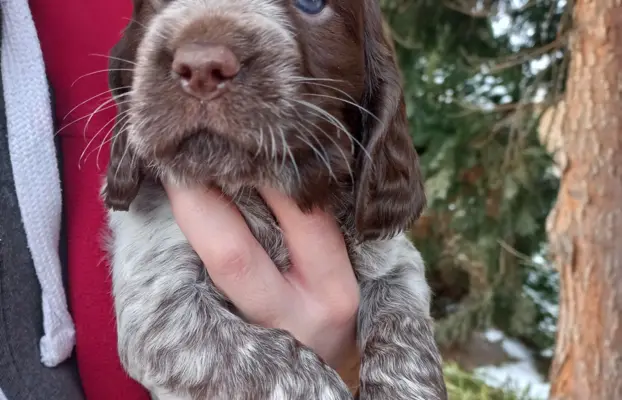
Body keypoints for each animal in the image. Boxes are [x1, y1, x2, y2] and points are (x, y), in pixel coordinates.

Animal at [102, 0, 448, 400]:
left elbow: (405, 332)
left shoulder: (396, 260)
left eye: (311, 5)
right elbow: (282, 364)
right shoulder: (162, 312)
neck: (254, 189)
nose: (202, 66)